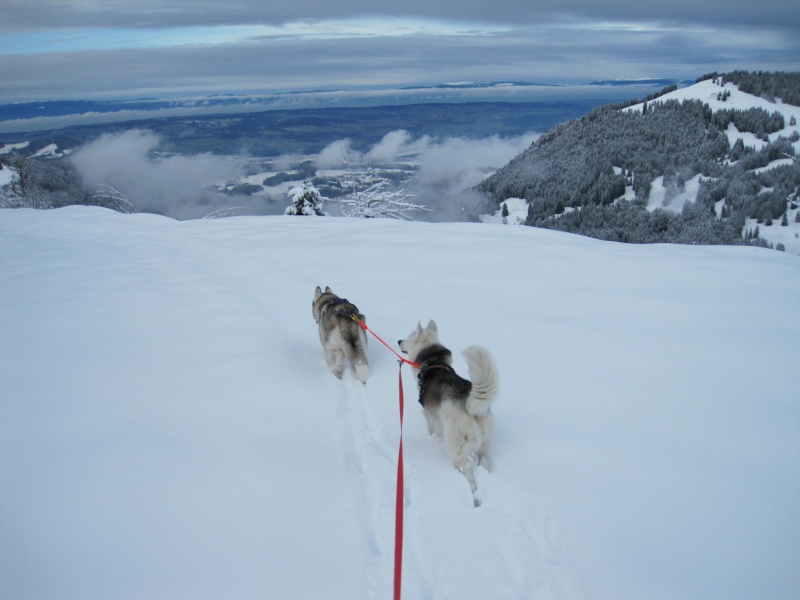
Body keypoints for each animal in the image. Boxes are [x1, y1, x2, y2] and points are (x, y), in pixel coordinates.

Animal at [400, 318, 500, 506]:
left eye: (408, 338)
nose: (398, 341)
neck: (431, 361)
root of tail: (469, 402)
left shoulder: (429, 416)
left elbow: (430, 428)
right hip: (485, 441)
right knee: (483, 459)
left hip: (456, 445)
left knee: (469, 474)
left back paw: (474, 496)